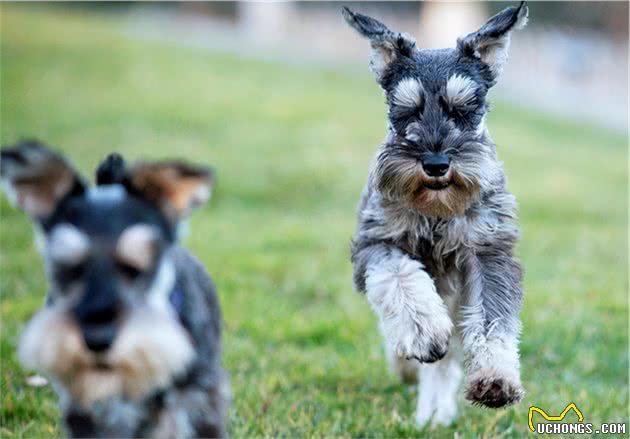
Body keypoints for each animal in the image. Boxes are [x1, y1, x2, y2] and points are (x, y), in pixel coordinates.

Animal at [346, 1, 532, 428]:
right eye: (404, 111)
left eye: (465, 109)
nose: (435, 164)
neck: (437, 210)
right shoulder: (375, 244)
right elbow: (400, 278)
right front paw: (423, 333)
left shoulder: (489, 253)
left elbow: (493, 318)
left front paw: (495, 378)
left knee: (447, 360)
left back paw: (437, 412)